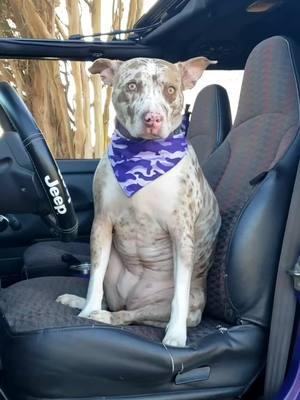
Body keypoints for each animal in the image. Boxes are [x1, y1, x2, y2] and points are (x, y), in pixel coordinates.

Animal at [56, 56, 220, 346]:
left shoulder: (182, 234)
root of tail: (134, 299)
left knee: (128, 316)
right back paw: (84, 305)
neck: (143, 154)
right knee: (112, 302)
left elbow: (179, 294)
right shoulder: (102, 224)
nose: (153, 118)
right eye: (132, 85)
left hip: (184, 302)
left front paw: (176, 335)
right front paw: (86, 309)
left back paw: (106, 317)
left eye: (170, 90)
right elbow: (95, 277)